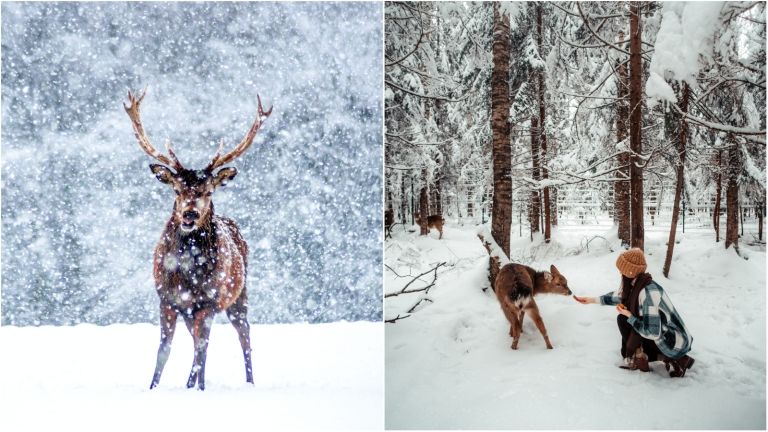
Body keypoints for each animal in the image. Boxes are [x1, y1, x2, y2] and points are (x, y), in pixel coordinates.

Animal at [124, 88, 272, 392]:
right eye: (177, 189)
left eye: (208, 190)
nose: (189, 214)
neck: (185, 273)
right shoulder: (167, 300)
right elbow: (164, 350)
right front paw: (153, 387)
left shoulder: (209, 301)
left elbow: (202, 349)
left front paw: (200, 388)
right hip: (190, 310)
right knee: (197, 340)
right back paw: (190, 382)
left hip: (238, 294)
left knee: (243, 333)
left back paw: (249, 382)